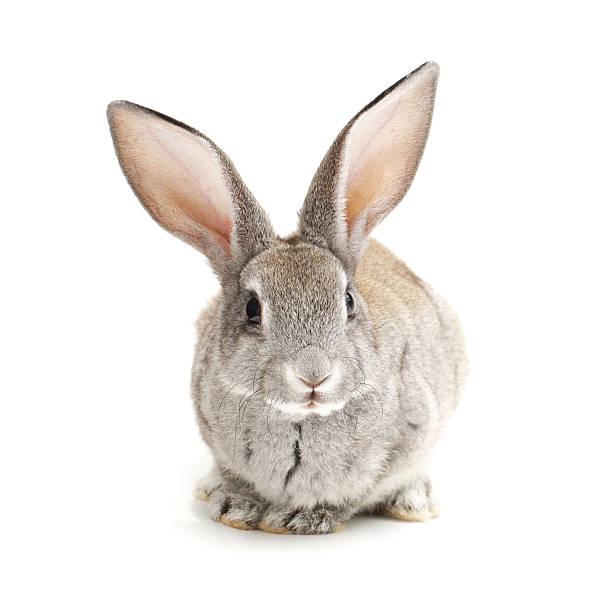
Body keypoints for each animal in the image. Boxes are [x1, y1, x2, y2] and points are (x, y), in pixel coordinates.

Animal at [106, 59, 468, 532]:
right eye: (252, 309)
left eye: (348, 301)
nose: (313, 374)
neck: (301, 418)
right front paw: (234, 506)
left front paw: (297, 518)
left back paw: (413, 502)